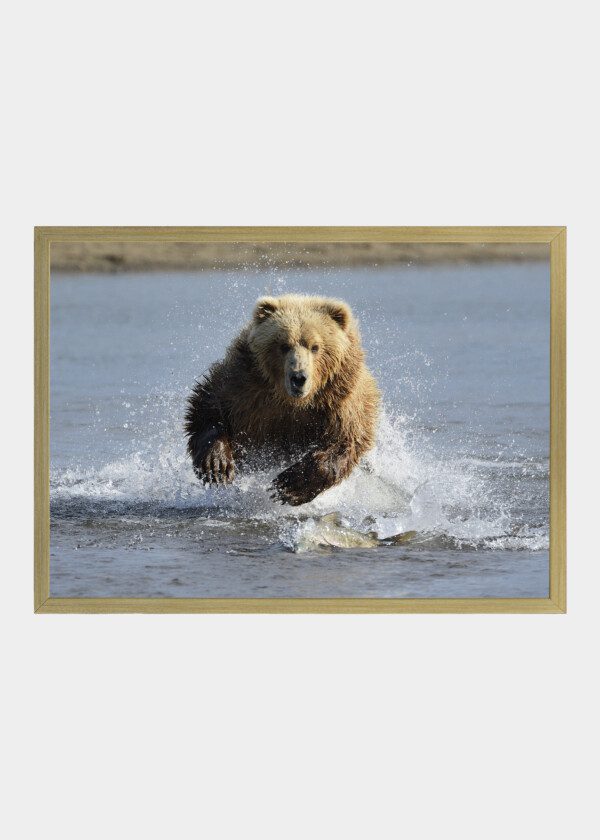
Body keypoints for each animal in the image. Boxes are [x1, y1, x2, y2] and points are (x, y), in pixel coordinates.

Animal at [185, 294, 380, 506]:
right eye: (284, 345)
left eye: (315, 347)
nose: (298, 377)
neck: (292, 401)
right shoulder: (245, 385)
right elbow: (209, 405)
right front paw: (217, 464)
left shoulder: (339, 400)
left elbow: (344, 440)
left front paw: (289, 486)